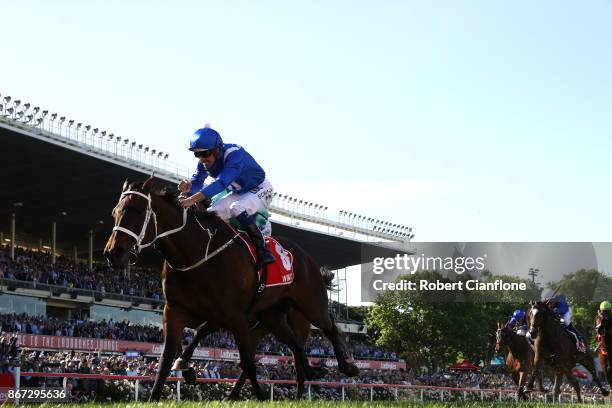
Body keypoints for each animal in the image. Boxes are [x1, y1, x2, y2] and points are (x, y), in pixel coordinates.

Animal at [104, 179, 358, 402]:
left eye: (136, 211)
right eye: (114, 213)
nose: (113, 253)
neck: (196, 254)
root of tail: (306, 257)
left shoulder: (235, 316)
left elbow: (247, 361)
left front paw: (261, 396)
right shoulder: (175, 311)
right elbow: (167, 358)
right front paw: (159, 392)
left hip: (310, 306)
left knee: (329, 328)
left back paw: (347, 367)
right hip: (272, 317)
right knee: (295, 346)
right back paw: (309, 377)